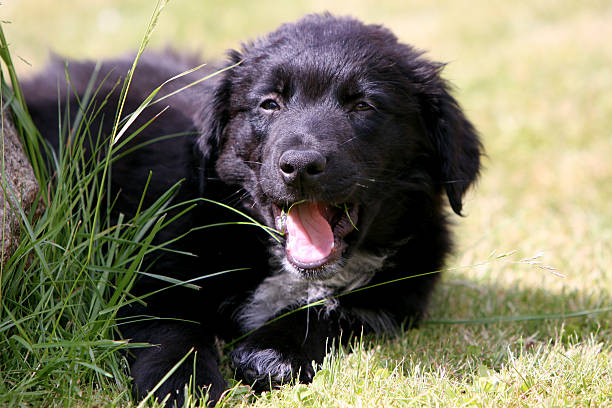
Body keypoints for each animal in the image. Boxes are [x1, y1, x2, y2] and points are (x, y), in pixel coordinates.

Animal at [22, 11, 482, 404]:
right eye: (269, 104)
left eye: (364, 106)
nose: (300, 166)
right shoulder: (148, 270)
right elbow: (170, 327)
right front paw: (186, 385)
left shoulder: (394, 296)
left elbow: (335, 311)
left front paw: (271, 352)